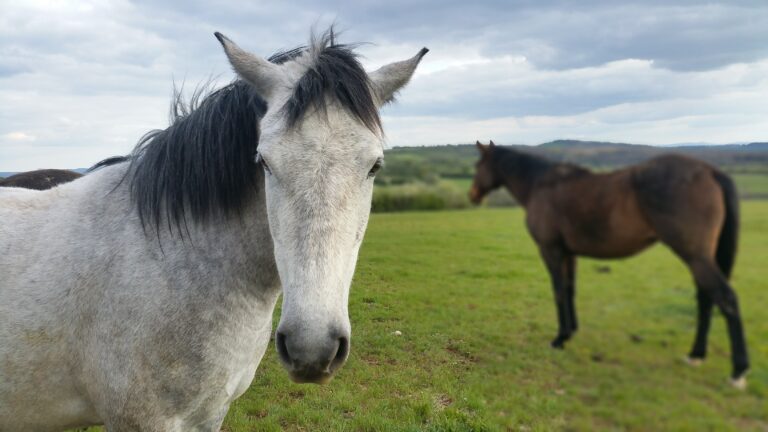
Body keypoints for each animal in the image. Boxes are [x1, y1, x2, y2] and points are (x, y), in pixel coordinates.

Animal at [469, 141, 748, 388]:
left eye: (477, 165)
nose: (472, 195)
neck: (540, 185)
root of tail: (710, 170)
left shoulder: (551, 251)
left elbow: (558, 291)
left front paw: (560, 338)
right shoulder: (569, 254)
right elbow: (570, 289)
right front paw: (572, 331)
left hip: (695, 257)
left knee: (726, 299)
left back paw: (738, 371)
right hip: (700, 258)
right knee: (706, 299)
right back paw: (696, 354)